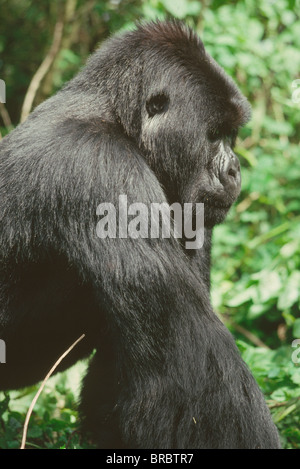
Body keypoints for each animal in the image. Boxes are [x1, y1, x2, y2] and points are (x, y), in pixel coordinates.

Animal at [0, 22, 282, 450]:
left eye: (232, 135)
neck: (118, 118)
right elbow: (190, 363)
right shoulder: (101, 165)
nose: (234, 170)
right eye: (215, 134)